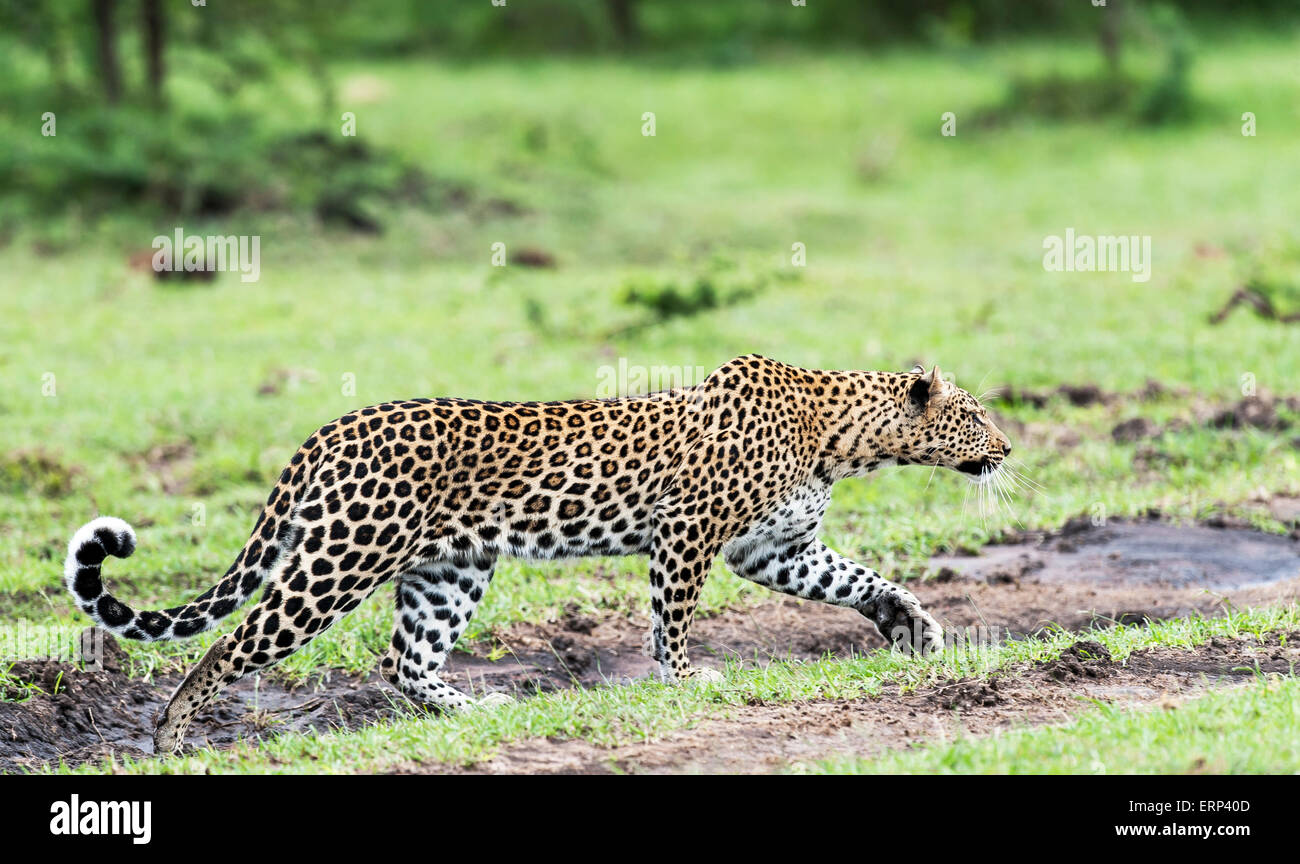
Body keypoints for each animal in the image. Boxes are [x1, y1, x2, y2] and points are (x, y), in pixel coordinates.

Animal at [65, 353, 1008, 753]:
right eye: (976, 415)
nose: (1006, 448)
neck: (847, 439)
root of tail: (328, 431)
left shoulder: (774, 551)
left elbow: (860, 579)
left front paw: (913, 628)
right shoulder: (689, 535)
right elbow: (672, 620)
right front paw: (683, 681)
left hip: (450, 570)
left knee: (406, 661)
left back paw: (472, 711)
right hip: (340, 561)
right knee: (232, 642)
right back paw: (171, 736)